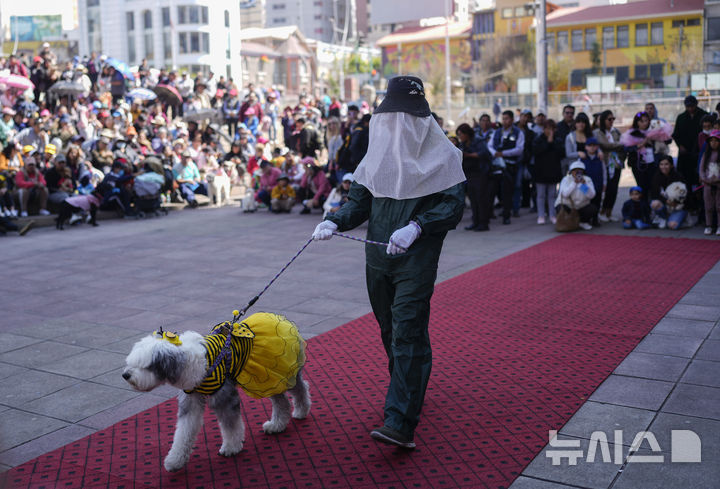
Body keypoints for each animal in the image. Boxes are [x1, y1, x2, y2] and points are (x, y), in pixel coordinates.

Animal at [124, 322, 310, 470]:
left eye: (144, 366)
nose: (125, 375)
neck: (192, 363)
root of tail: (284, 322)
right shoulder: (191, 401)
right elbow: (184, 432)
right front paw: (175, 460)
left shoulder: (225, 398)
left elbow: (231, 426)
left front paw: (231, 447)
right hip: (268, 380)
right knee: (282, 402)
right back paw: (276, 425)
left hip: (279, 374)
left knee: (300, 388)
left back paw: (301, 411)